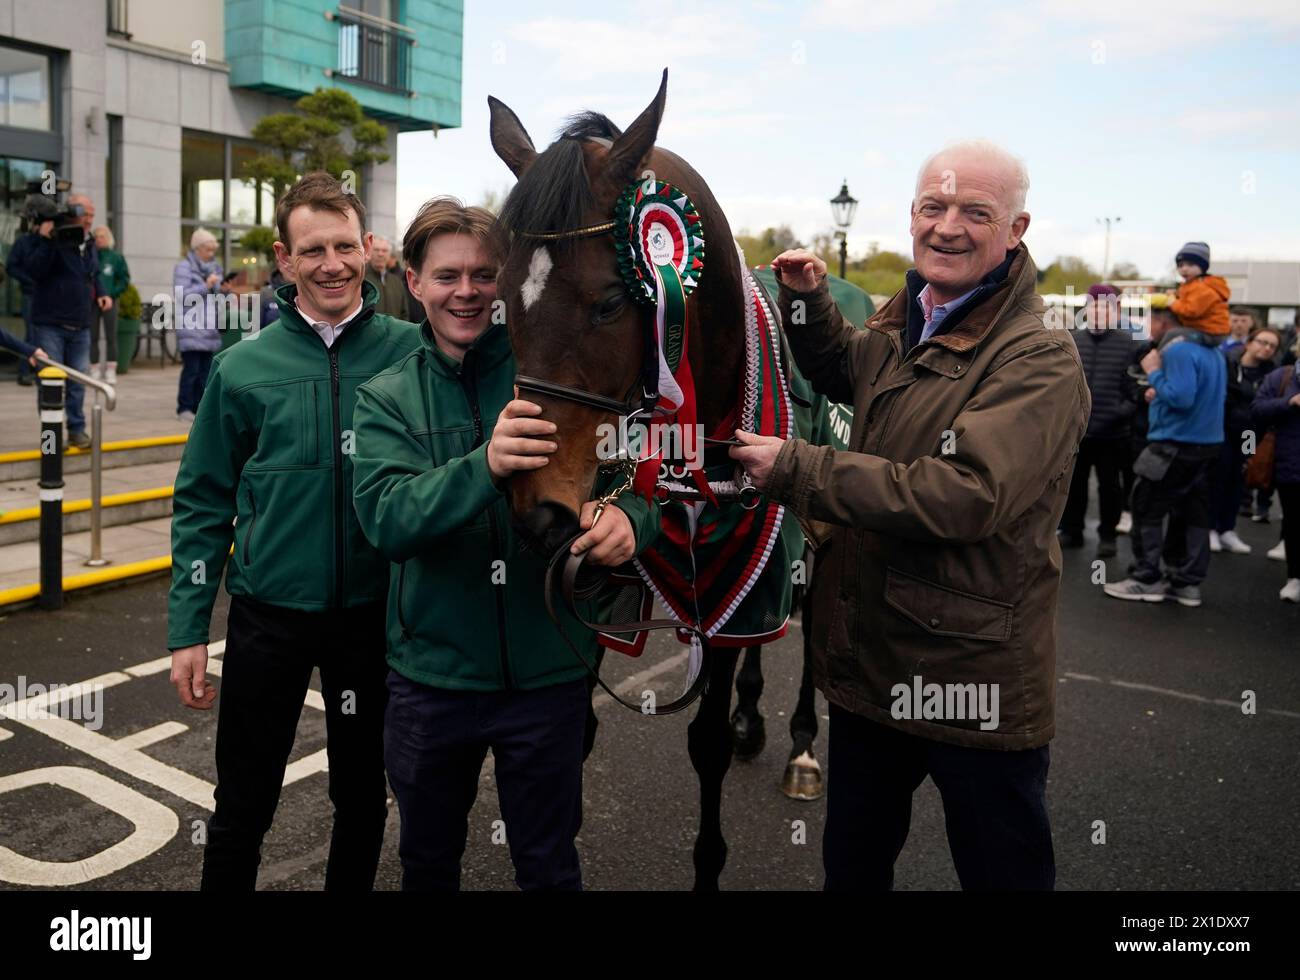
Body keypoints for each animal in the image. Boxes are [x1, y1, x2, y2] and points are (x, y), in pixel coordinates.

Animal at [491, 72, 816, 889]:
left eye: (611, 300)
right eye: (501, 295)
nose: (539, 511)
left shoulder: (734, 576)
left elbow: (704, 740)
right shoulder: (604, 580)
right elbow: (574, 727)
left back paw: (800, 745)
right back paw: (755, 719)